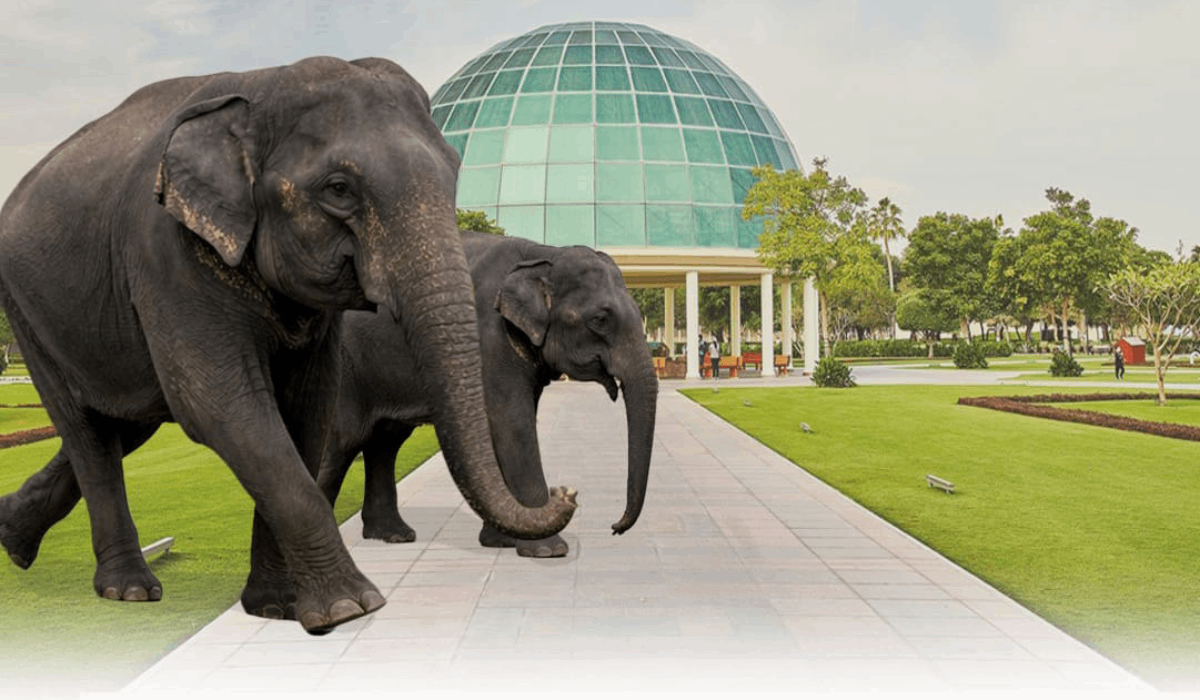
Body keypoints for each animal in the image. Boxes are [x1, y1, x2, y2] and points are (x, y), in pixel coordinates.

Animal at [0, 56, 575, 635]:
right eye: (339, 188)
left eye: (453, 173)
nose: (566, 492)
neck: (261, 84)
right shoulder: (166, 253)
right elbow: (222, 407)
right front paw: (349, 608)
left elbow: (306, 410)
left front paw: (278, 607)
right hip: (27, 311)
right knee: (89, 430)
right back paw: (130, 589)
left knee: (128, 420)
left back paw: (13, 536)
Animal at [317, 231, 657, 557]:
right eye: (601, 319)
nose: (615, 527)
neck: (543, 254)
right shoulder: (487, 338)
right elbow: (512, 424)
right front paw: (547, 550)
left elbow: (497, 429)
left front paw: (502, 542)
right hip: (342, 365)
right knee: (344, 439)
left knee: (386, 441)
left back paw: (394, 536)